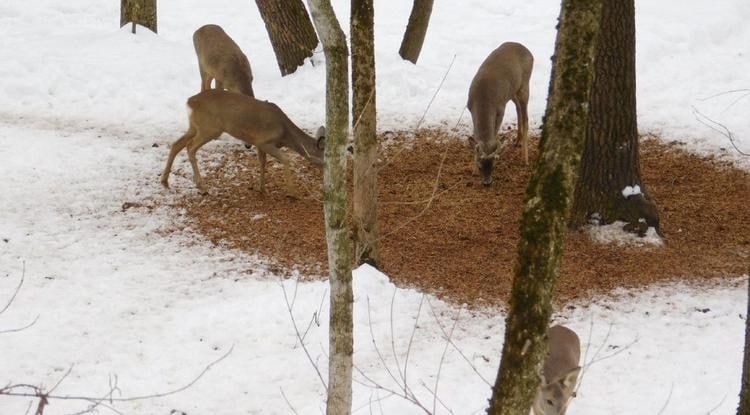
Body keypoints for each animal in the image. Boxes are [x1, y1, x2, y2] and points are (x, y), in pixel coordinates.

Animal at [162, 89, 326, 195]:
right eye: (323, 157)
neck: (285, 134)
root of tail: (190, 102)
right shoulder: (264, 141)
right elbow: (285, 158)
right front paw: (292, 192)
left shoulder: (259, 143)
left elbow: (262, 162)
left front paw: (261, 188)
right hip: (210, 128)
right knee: (190, 147)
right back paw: (202, 187)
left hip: (194, 126)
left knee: (176, 144)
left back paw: (165, 182)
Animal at [470, 41, 536, 185]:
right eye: (480, 166)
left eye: (494, 165)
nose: (487, 183)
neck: (483, 101)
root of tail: (528, 51)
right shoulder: (470, 108)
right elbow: (475, 135)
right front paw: (472, 169)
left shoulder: (500, 109)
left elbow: (495, 133)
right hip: (512, 91)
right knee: (518, 108)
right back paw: (517, 141)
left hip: (524, 85)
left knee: (526, 118)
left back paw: (525, 159)